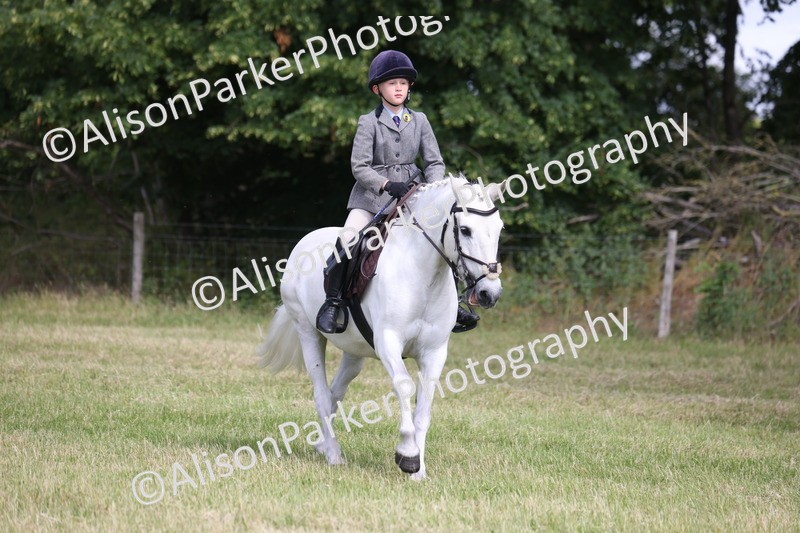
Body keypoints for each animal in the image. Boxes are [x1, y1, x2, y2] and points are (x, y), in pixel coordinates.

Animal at [257, 175, 507, 480]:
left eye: (499, 229)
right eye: (465, 230)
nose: (489, 293)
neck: (423, 275)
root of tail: (303, 243)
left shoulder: (435, 351)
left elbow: (425, 404)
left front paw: (419, 471)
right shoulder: (388, 342)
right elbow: (405, 387)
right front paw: (408, 456)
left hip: (354, 351)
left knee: (335, 393)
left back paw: (323, 445)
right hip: (308, 333)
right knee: (321, 393)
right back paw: (333, 455)